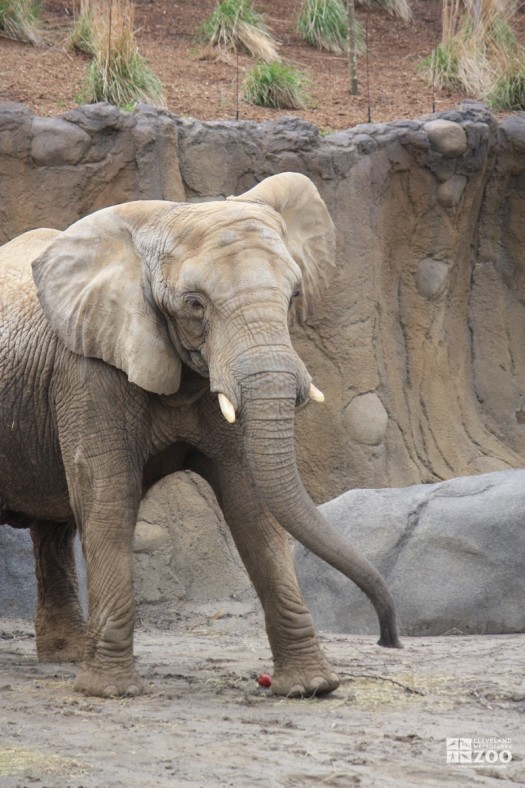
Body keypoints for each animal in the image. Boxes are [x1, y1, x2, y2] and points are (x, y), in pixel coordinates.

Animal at [0, 171, 402, 696]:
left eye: (294, 296)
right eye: (194, 304)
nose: (389, 640)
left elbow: (251, 504)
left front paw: (310, 687)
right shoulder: (86, 371)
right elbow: (108, 497)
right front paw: (112, 692)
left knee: (53, 527)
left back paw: (65, 658)